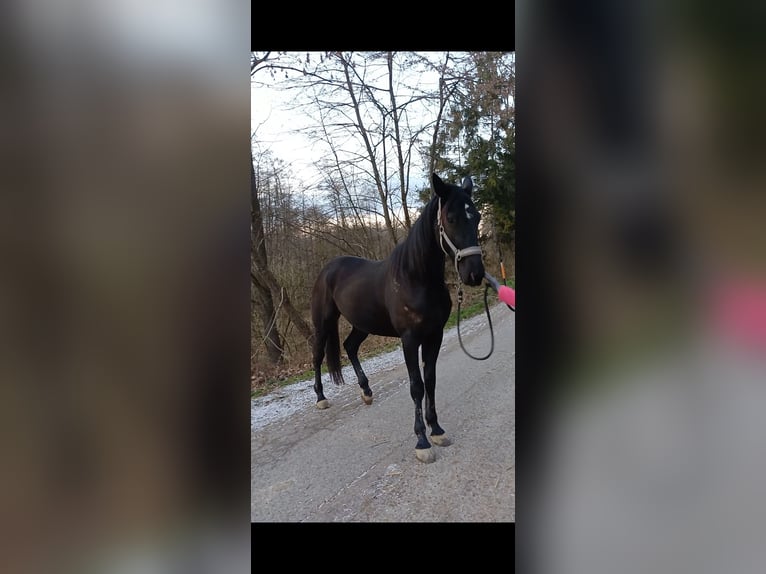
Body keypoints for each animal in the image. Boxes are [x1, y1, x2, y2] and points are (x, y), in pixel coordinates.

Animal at [312, 173, 486, 466]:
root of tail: (327, 268)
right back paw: (321, 398)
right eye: (451, 218)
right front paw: (422, 442)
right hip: (323, 322)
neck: (415, 278)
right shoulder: (409, 340)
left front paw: (437, 430)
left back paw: (366, 392)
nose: (474, 273)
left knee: (350, 346)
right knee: (317, 355)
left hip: (362, 324)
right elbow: (416, 386)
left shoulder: (434, 336)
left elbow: (431, 381)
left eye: (477, 216)